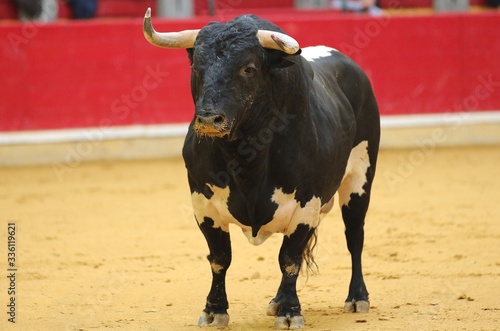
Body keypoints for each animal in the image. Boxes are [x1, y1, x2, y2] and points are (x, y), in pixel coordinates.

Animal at [143, 7, 380, 330]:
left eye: (248, 68)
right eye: (196, 67)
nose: (209, 119)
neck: (246, 156)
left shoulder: (307, 202)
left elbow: (289, 258)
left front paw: (291, 312)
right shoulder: (202, 203)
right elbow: (220, 257)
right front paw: (214, 310)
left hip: (360, 178)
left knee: (354, 235)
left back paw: (357, 297)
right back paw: (278, 299)